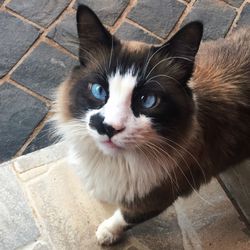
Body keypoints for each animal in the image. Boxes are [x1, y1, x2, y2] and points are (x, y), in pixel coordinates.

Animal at [53, 3, 250, 246]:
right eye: (99, 91)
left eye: (147, 100)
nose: (108, 128)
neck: (118, 162)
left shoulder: (157, 197)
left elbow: (125, 216)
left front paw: (107, 233)